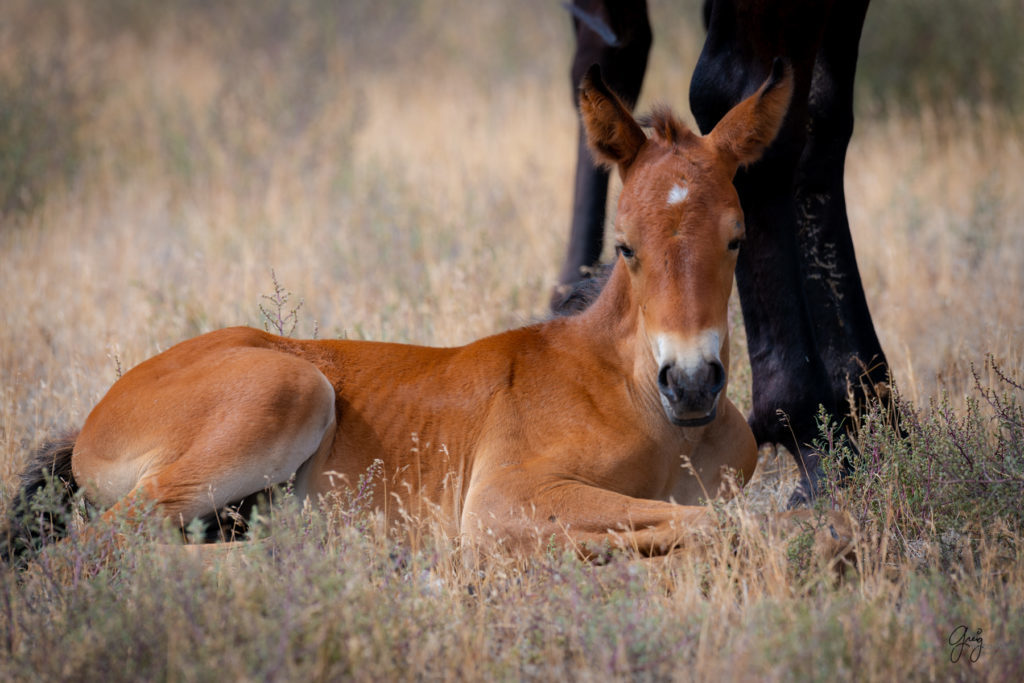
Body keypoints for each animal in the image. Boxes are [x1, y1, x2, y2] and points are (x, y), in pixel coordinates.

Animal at [557, 0, 892, 501]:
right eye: (625, 248)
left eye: (735, 239)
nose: (690, 383)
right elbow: (746, 100)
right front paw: (813, 438)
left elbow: (823, 120)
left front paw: (870, 407)